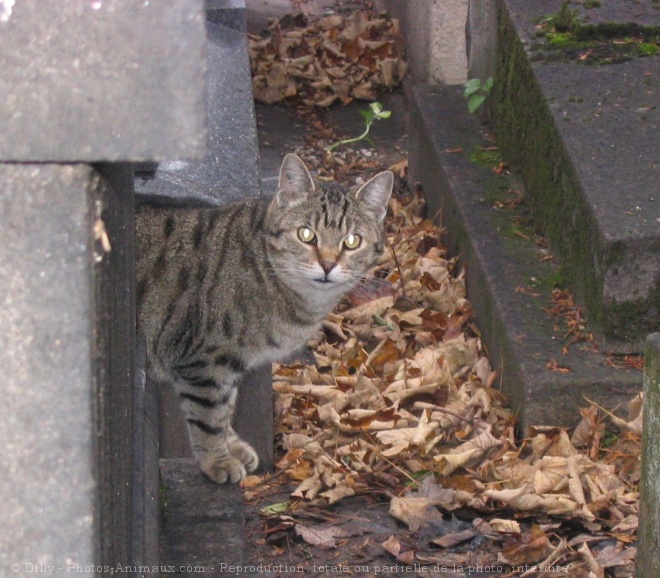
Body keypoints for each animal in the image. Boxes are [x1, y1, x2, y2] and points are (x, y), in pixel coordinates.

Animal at [134, 153, 392, 482]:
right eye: (306, 235)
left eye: (351, 241)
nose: (327, 264)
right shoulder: (206, 363)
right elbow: (209, 416)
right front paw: (217, 460)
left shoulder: (226, 365)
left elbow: (226, 406)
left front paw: (232, 446)